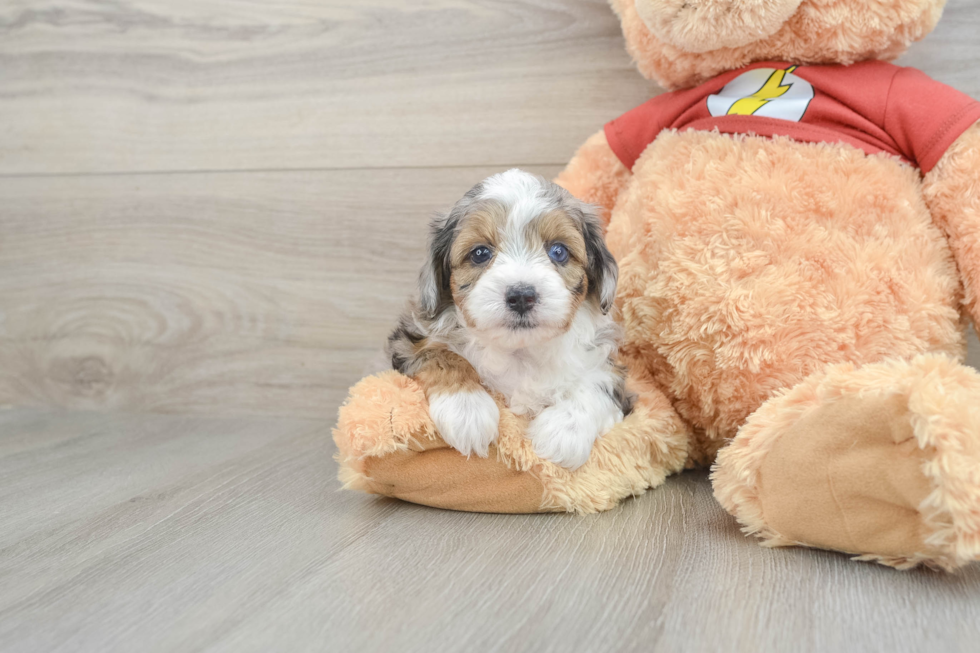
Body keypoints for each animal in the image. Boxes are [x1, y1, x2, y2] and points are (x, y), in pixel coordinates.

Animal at [386, 168, 632, 468]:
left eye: (559, 251)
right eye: (480, 253)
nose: (522, 295)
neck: (520, 351)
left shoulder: (610, 368)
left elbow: (599, 381)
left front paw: (564, 429)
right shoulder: (410, 340)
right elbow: (441, 356)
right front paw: (467, 409)